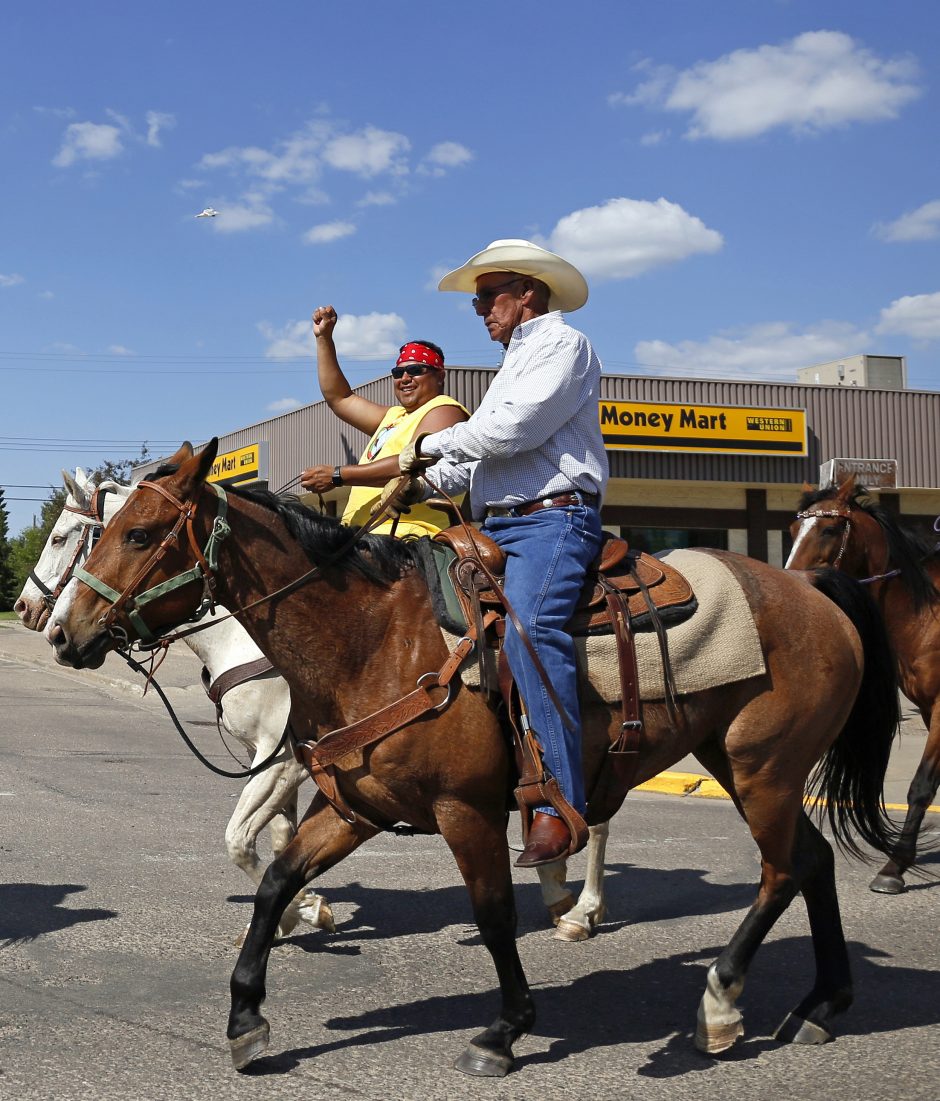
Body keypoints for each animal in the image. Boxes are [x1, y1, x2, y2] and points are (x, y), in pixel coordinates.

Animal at [18, 469, 616, 942]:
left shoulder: (282, 757)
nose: (40, 620)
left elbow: (239, 839)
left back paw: (580, 910)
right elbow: (280, 836)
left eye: (66, 536)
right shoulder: (281, 760)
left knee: (592, 817)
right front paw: (295, 911)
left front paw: (304, 910)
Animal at [792, 475, 937, 894]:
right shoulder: (927, 707)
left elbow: (921, 785)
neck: (927, 612)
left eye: (828, 529)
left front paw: (894, 866)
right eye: (792, 529)